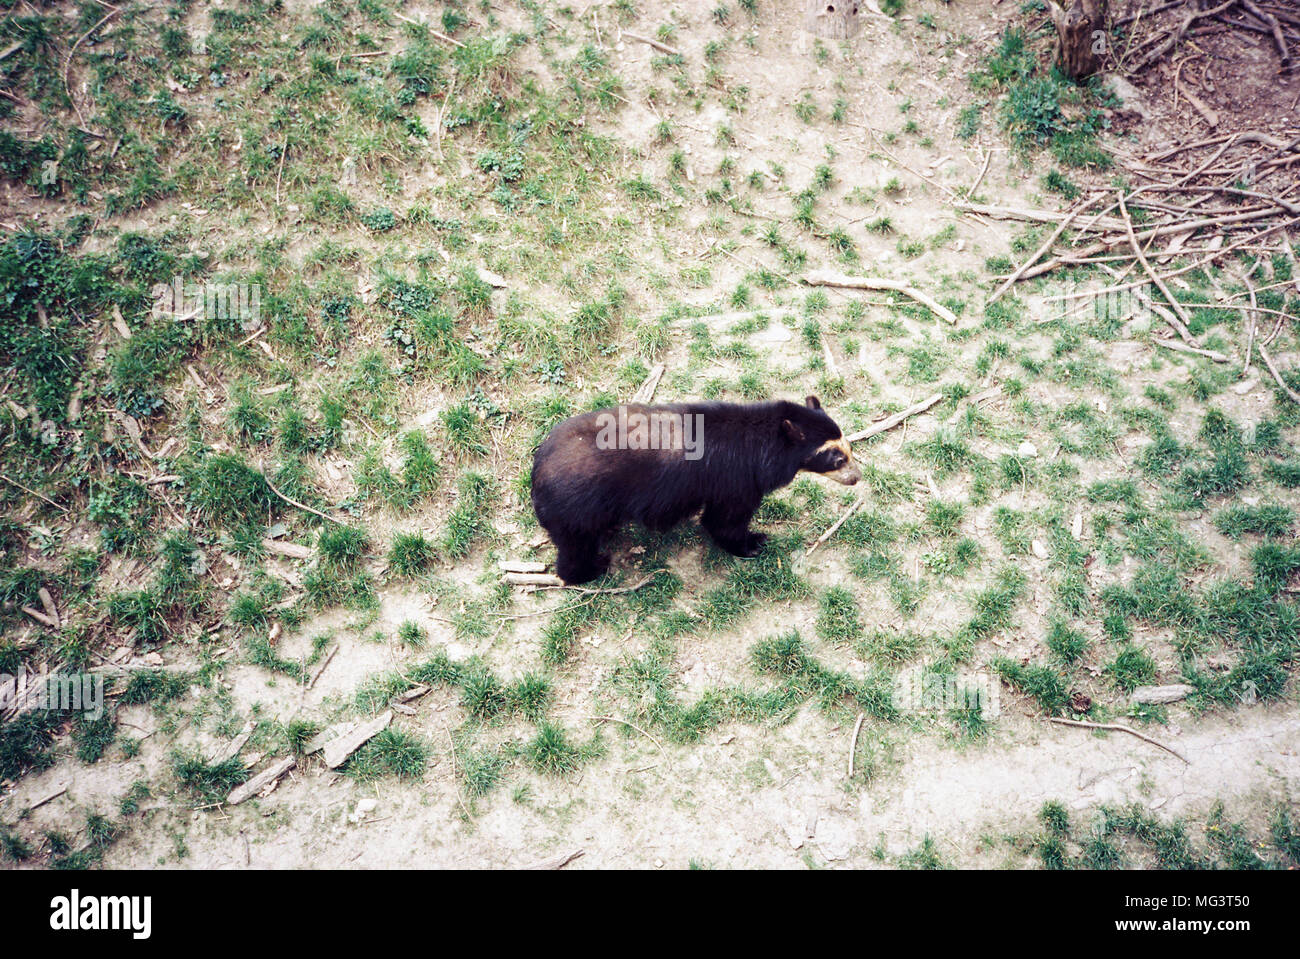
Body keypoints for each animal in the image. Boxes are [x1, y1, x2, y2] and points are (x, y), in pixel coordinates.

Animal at [530, 396, 861, 584]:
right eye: (836, 458)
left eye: (849, 447)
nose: (857, 477)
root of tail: (537, 473)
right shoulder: (736, 480)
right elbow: (724, 521)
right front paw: (754, 542)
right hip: (578, 510)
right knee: (575, 548)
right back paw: (592, 569)